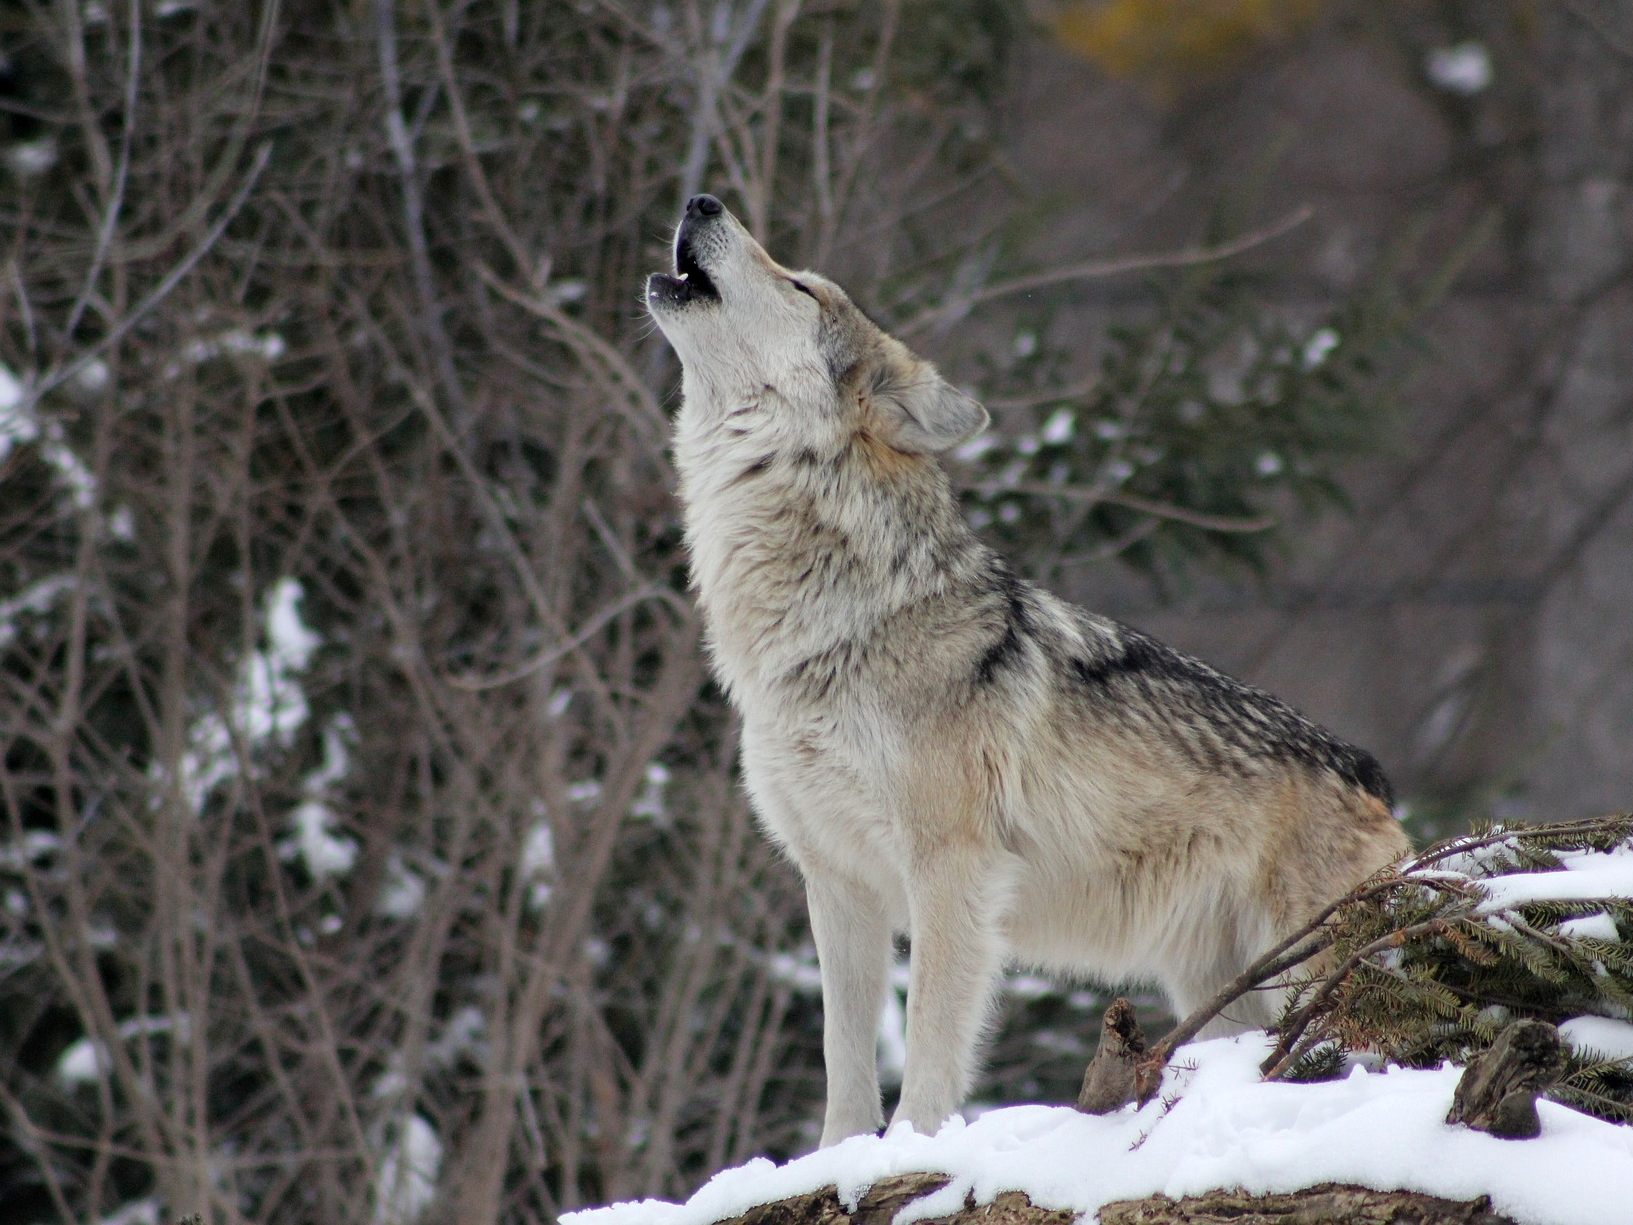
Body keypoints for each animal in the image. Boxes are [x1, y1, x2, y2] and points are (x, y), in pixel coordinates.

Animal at [643, 194, 1410, 1149]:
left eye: (800, 285)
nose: (700, 200)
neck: (832, 624)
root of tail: (1369, 772)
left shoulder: (951, 870)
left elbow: (929, 1040)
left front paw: (912, 1148)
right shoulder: (837, 882)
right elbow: (842, 1059)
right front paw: (837, 1159)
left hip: (1307, 972)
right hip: (1220, 991)